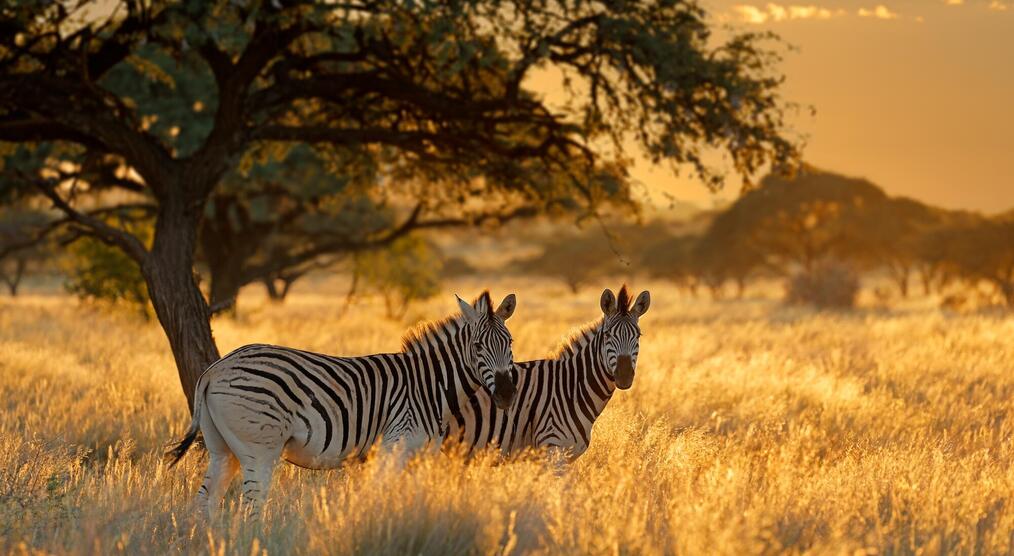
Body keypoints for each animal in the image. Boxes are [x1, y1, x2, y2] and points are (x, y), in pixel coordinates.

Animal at [166, 291, 518, 518]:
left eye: (510, 343)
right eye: (477, 346)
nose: (506, 394)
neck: (428, 386)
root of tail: (214, 369)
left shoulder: (420, 455)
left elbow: (412, 498)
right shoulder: (394, 445)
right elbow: (381, 496)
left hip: (222, 448)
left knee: (205, 501)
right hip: (260, 447)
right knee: (253, 503)